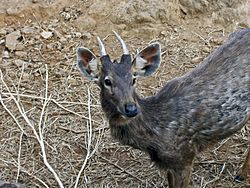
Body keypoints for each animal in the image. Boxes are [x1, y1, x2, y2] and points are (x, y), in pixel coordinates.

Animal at [76, 29, 250, 187]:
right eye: (107, 81)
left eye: (133, 79)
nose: (131, 109)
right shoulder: (169, 164)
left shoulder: (184, 156)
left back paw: (241, 175)